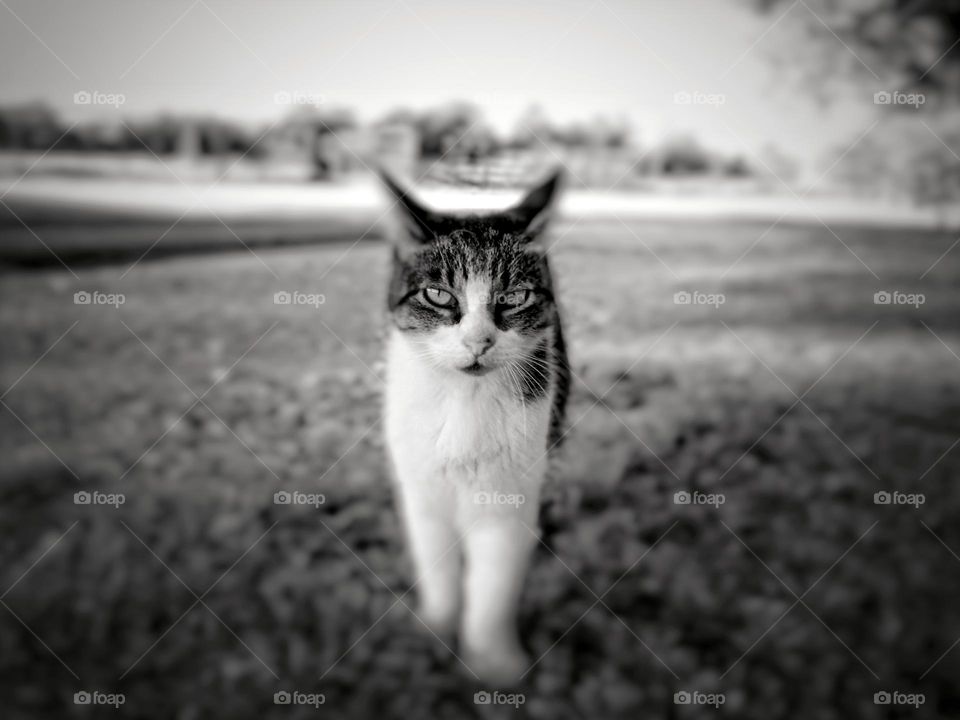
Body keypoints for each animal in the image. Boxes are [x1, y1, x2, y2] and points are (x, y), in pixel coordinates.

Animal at [378, 169, 568, 688]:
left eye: (514, 297)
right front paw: (434, 631)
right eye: (440, 295)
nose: (479, 341)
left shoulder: (507, 500)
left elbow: (492, 585)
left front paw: (494, 663)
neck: (463, 402)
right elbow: (437, 567)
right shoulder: (421, 490)